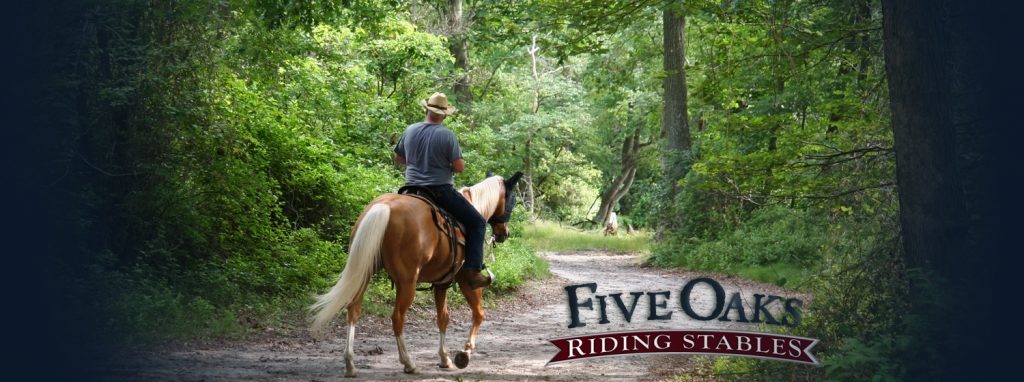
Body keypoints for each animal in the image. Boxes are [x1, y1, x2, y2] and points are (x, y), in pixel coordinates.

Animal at [309, 172, 520, 374]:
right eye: (512, 199)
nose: (505, 233)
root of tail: (384, 207)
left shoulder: (441, 284)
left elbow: (443, 318)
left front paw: (445, 359)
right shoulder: (466, 280)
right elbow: (478, 314)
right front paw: (464, 353)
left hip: (364, 273)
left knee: (353, 309)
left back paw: (350, 364)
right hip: (407, 282)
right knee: (397, 318)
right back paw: (408, 363)